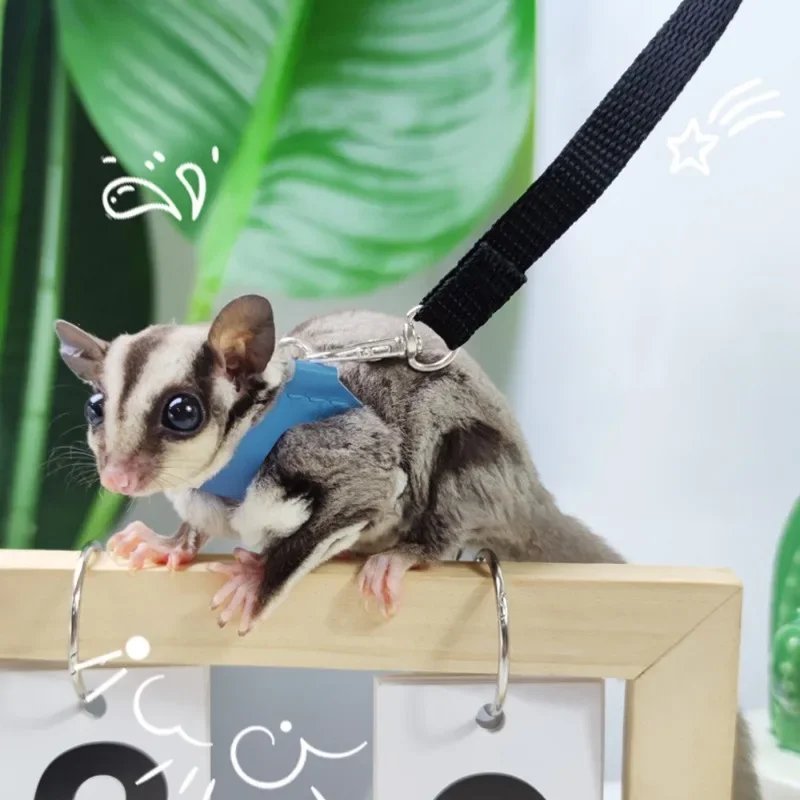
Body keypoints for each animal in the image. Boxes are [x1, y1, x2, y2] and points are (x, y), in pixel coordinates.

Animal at [55, 294, 760, 800]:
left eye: (182, 412)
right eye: (95, 407)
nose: (119, 478)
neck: (240, 452)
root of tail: (530, 489)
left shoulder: (340, 457)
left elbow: (362, 496)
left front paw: (257, 583)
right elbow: (196, 525)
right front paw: (167, 545)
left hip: (475, 468)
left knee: (446, 474)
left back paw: (398, 553)